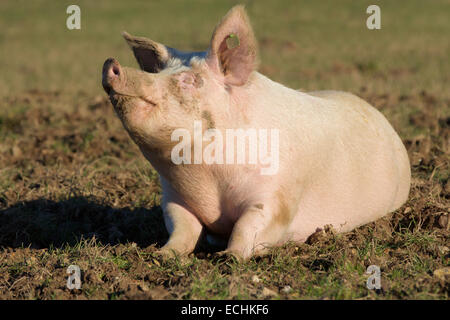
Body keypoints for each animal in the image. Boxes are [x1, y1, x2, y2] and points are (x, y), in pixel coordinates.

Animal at [102, 5, 412, 260]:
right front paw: (161, 255)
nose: (111, 64)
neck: (208, 179)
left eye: (189, 80)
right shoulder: (172, 197)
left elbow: (250, 223)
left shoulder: (278, 193)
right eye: (159, 73)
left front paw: (228, 258)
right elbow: (182, 227)